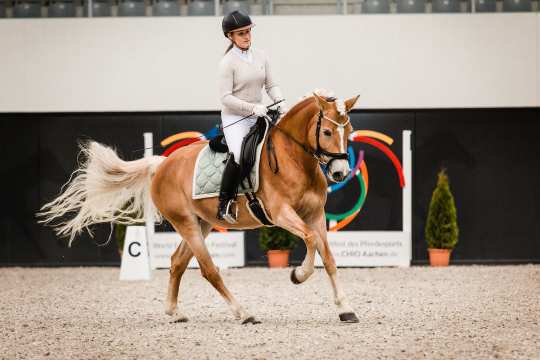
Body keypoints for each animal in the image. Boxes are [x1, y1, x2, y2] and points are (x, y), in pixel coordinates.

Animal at [38, 91, 358, 324]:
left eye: (350, 131)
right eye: (327, 132)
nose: (340, 173)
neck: (294, 158)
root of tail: (163, 164)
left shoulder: (314, 215)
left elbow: (328, 256)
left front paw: (345, 308)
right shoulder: (281, 214)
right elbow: (310, 240)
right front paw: (298, 275)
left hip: (201, 223)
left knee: (178, 262)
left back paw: (175, 312)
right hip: (187, 223)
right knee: (208, 270)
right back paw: (243, 313)